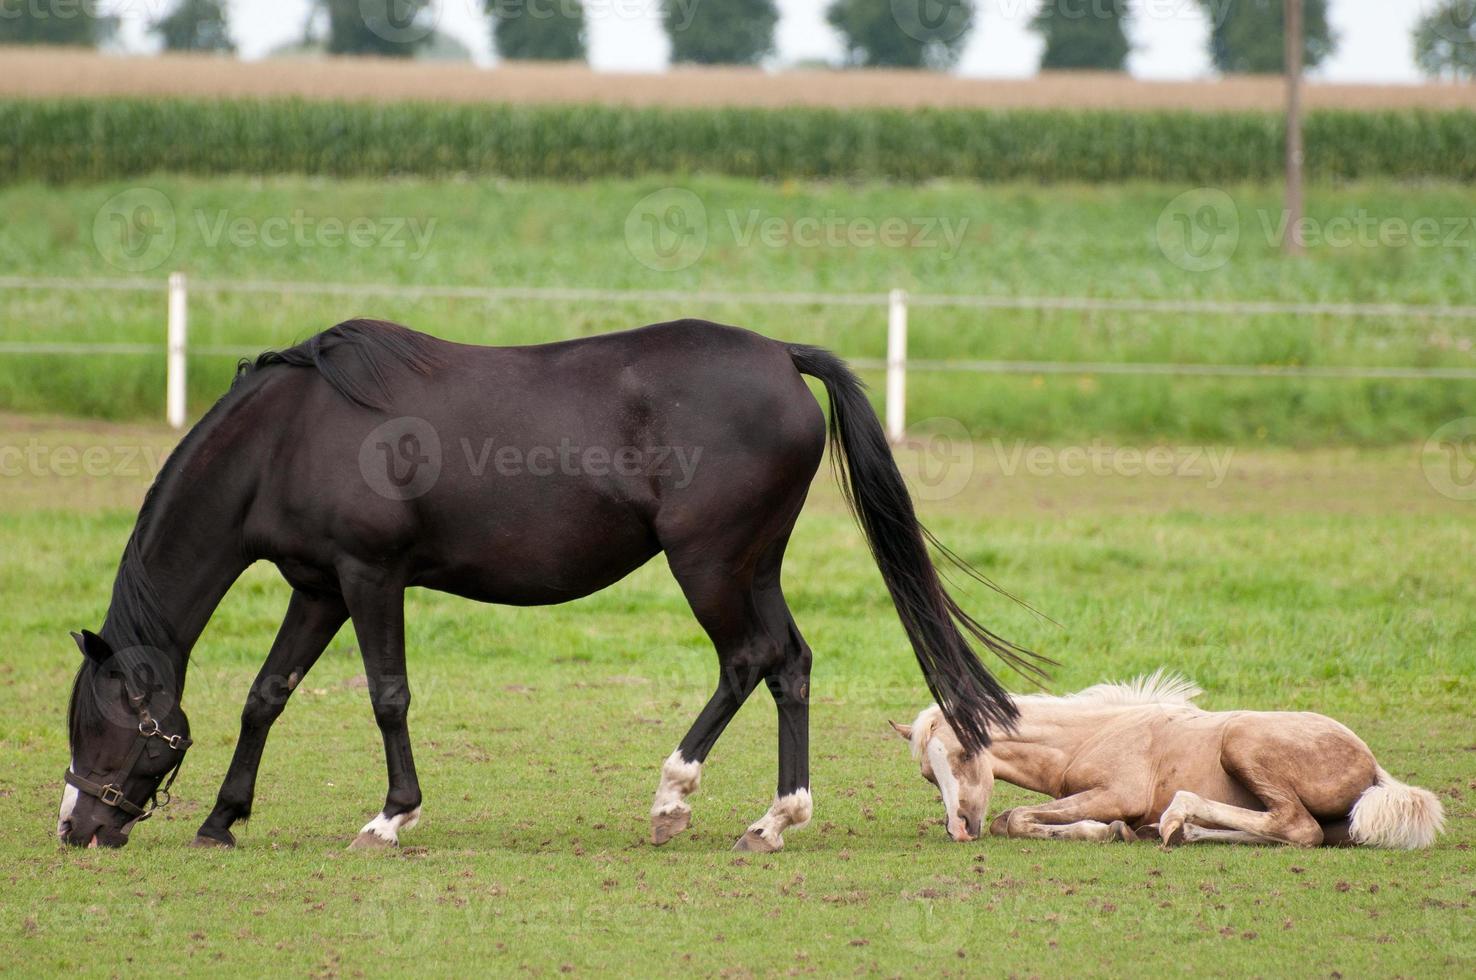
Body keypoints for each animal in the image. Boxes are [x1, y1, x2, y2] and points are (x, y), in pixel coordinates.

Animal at [54, 320, 1027, 850]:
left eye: (102, 728)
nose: (76, 827)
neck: (289, 435)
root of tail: (781, 358)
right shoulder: (318, 586)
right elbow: (267, 694)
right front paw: (224, 817)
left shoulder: (371, 578)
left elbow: (387, 696)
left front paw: (391, 817)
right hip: (753, 563)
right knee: (788, 663)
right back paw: (774, 817)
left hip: (710, 562)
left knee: (749, 659)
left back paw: (675, 795)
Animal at [891, 673, 1446, 850]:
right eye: (928, 774)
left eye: (965, 751)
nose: (958, 828)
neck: (1089, 735)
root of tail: (1373, 766)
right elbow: (1012, 818)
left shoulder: (1117, 794)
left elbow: (1016, 818)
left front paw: (1106, 830)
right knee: (1296, 833)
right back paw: (1183, 831)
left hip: (1242, 742)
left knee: (1296, 826)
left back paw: (1177, 817)